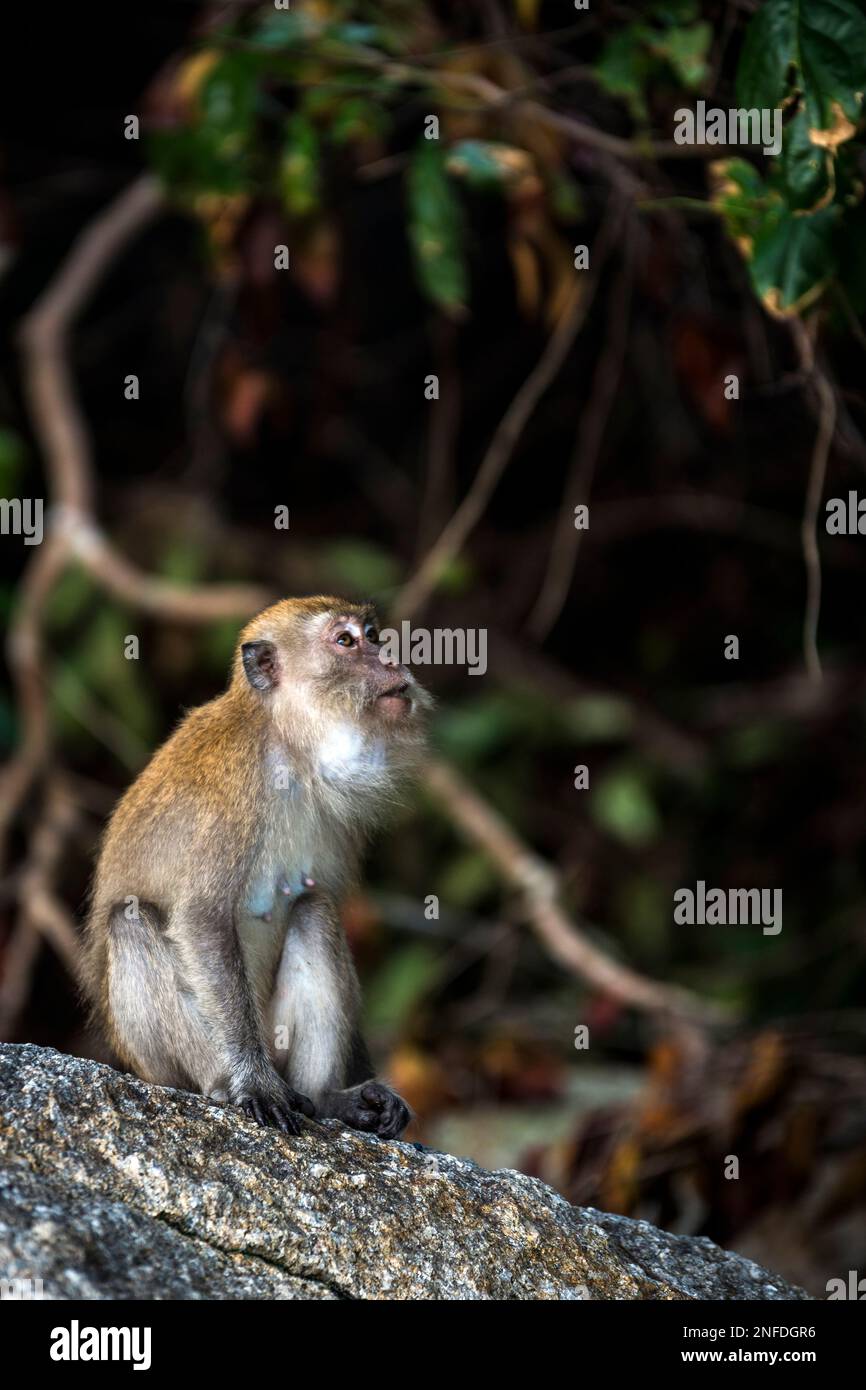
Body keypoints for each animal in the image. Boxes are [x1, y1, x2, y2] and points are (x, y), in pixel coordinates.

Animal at [80, 596, 431, 1139]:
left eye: (373, 634)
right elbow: (201, 920)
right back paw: (225, 1085)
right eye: (345, 641)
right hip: (155, 1062)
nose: (392, 659)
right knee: (130, 922)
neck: (288, 744)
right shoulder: (234, 791)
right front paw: (253, 1082)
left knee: (314, 909)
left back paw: (326, 1099)